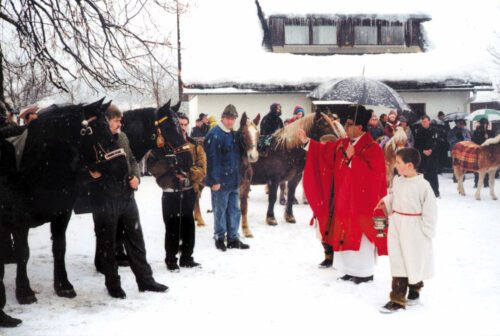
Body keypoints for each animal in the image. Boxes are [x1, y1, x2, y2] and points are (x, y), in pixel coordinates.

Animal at [0, 98, 129, 310]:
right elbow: (23, 253)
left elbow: (60, 247)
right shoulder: (19, 220)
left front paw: (63, 285)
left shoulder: (62, 214)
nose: (122, 169)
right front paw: (24, 292)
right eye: (93, 130)